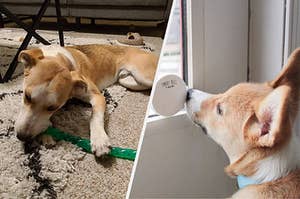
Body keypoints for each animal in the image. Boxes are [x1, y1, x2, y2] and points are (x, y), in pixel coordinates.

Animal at [14, 44, 157, 157]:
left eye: (52, 107)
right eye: (27, 96)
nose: (22, 136)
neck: (60, 59)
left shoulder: (97, 96)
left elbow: (95, 116)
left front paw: (100, 141)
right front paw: (46, 134)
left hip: (144, 76)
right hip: (126, 81)